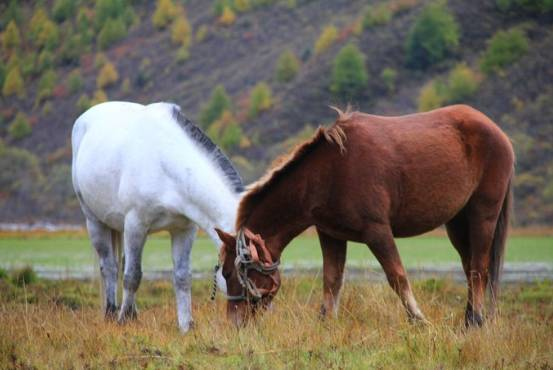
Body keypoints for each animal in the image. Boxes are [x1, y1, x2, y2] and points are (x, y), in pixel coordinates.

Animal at [70, 101, 242, 332]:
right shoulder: (136, 225)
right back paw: (112, 313)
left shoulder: (184, 230)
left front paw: (186, 325)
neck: (166, 163)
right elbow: (133, 276)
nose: (248, 318)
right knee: (110, 267)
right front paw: (123, 320)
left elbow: (182, 276)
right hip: (95, 222)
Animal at [215, 104, 512, 326]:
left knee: (479, 268)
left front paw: (418, 320)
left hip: (483, 215)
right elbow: (332, 280)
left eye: (229, 273)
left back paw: (475, 320)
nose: (234, 324)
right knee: (469, 266)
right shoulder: (331, 235)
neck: (328, 173)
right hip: (457, 223)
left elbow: (397, 276)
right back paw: (469, 319)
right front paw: (326, 323)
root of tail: (498, 133)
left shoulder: (377, 231)